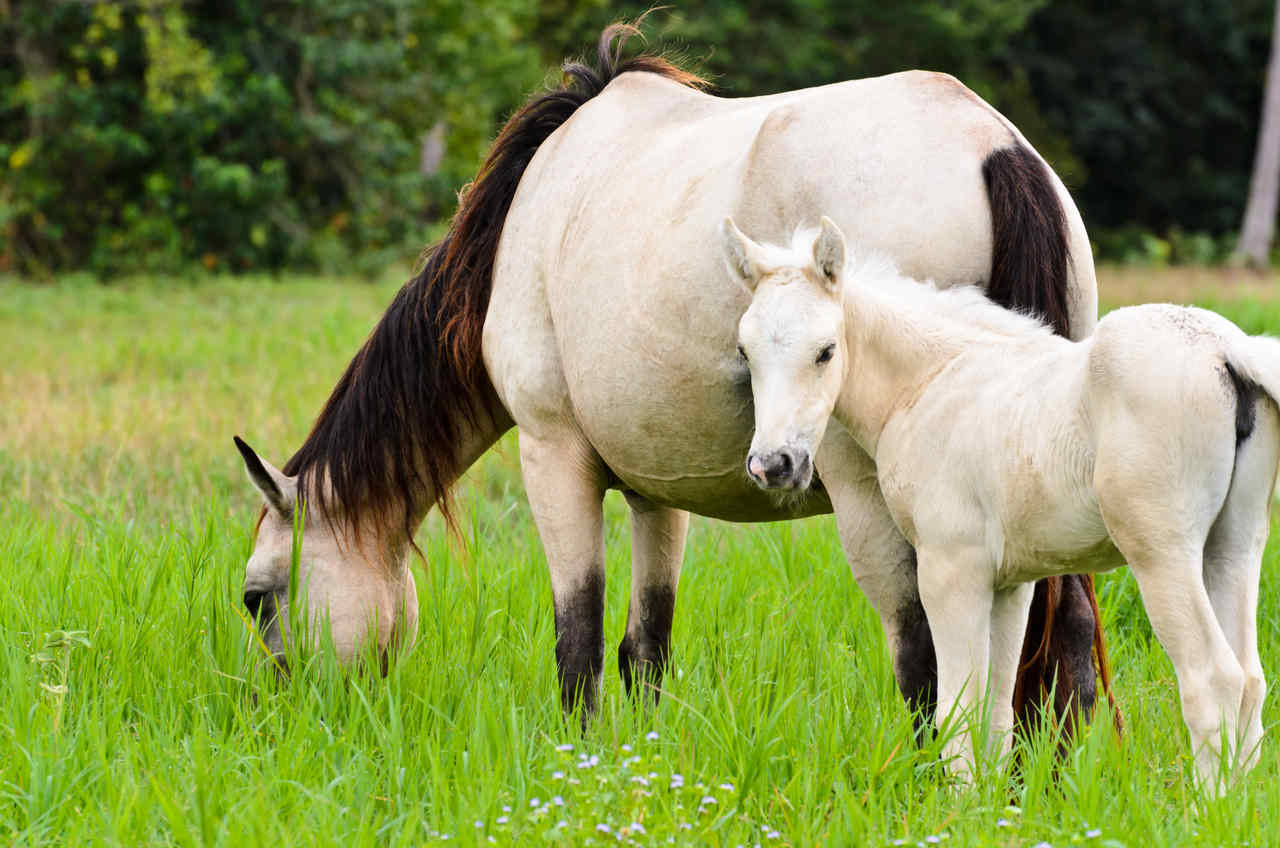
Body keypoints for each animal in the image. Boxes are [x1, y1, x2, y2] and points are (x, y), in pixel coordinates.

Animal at [238, 21, 1111, 737]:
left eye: (256, 598)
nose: (283, 719)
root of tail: (989, 142)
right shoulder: (657, 489)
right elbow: (645, 647)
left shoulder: (553, 456)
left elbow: (580, 641)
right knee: (1063, 632)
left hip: (878, 505)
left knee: (924, 656)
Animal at [727, 217, 1280, 789]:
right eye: (746, 352)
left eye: (826, 351)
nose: (774, 464)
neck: (931, 380)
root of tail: (1225, 349)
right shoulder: (1010, 585)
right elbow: (995, 712)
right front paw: (989, 802)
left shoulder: (950, 569)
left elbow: (957, 709)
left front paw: (956, 803)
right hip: (1232, 547)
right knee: (1251, 679)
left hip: (1162, 553)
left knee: (1213, 677)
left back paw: (1207, 801)